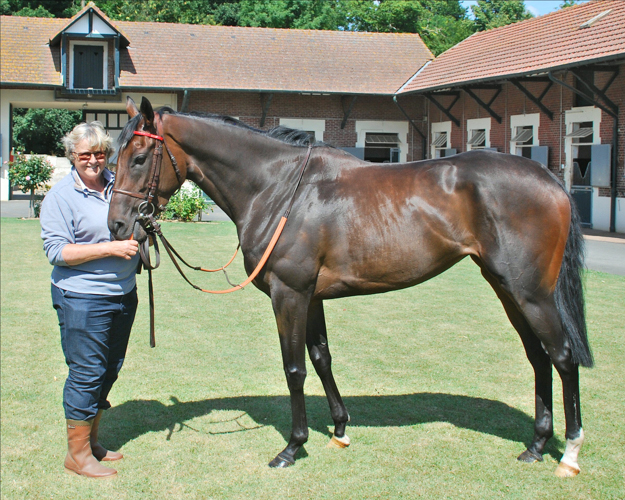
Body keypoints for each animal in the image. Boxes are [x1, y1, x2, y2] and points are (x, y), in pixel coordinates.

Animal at [109, 97, 592, 476]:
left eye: (138, 158)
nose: (117, 225)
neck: (280, 189)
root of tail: (551, 181)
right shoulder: (311, 297)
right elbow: (321, 358)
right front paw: (339, 429)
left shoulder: (290, 294)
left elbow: (295, 368)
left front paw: (292, 446)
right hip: (507, 288)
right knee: (538, 358)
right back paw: (536, 445)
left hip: (532, 294)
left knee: (563, 357)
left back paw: (569, 452)